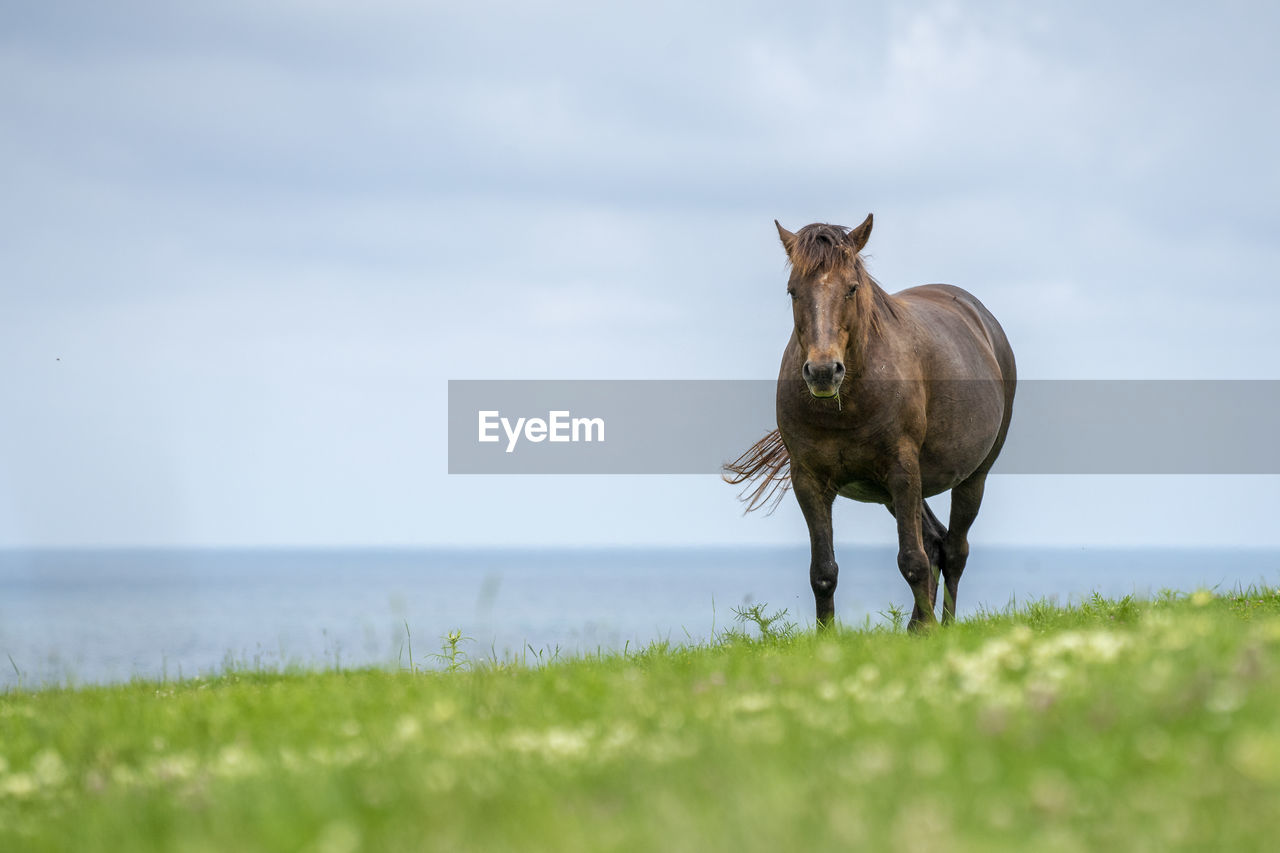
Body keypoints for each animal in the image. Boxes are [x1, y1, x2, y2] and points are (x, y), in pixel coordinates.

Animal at [727, 216, 1013, 627]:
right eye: (793, 291)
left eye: (851, 288)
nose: (823, 371)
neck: (846, 407)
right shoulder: (809, 481)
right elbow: (823, 572)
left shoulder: (902, 472)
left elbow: (912, 561)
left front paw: (931, 630)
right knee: (935, 542)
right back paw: (918, 627)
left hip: (971, 477)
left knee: (955, 549)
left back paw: (943, 626)